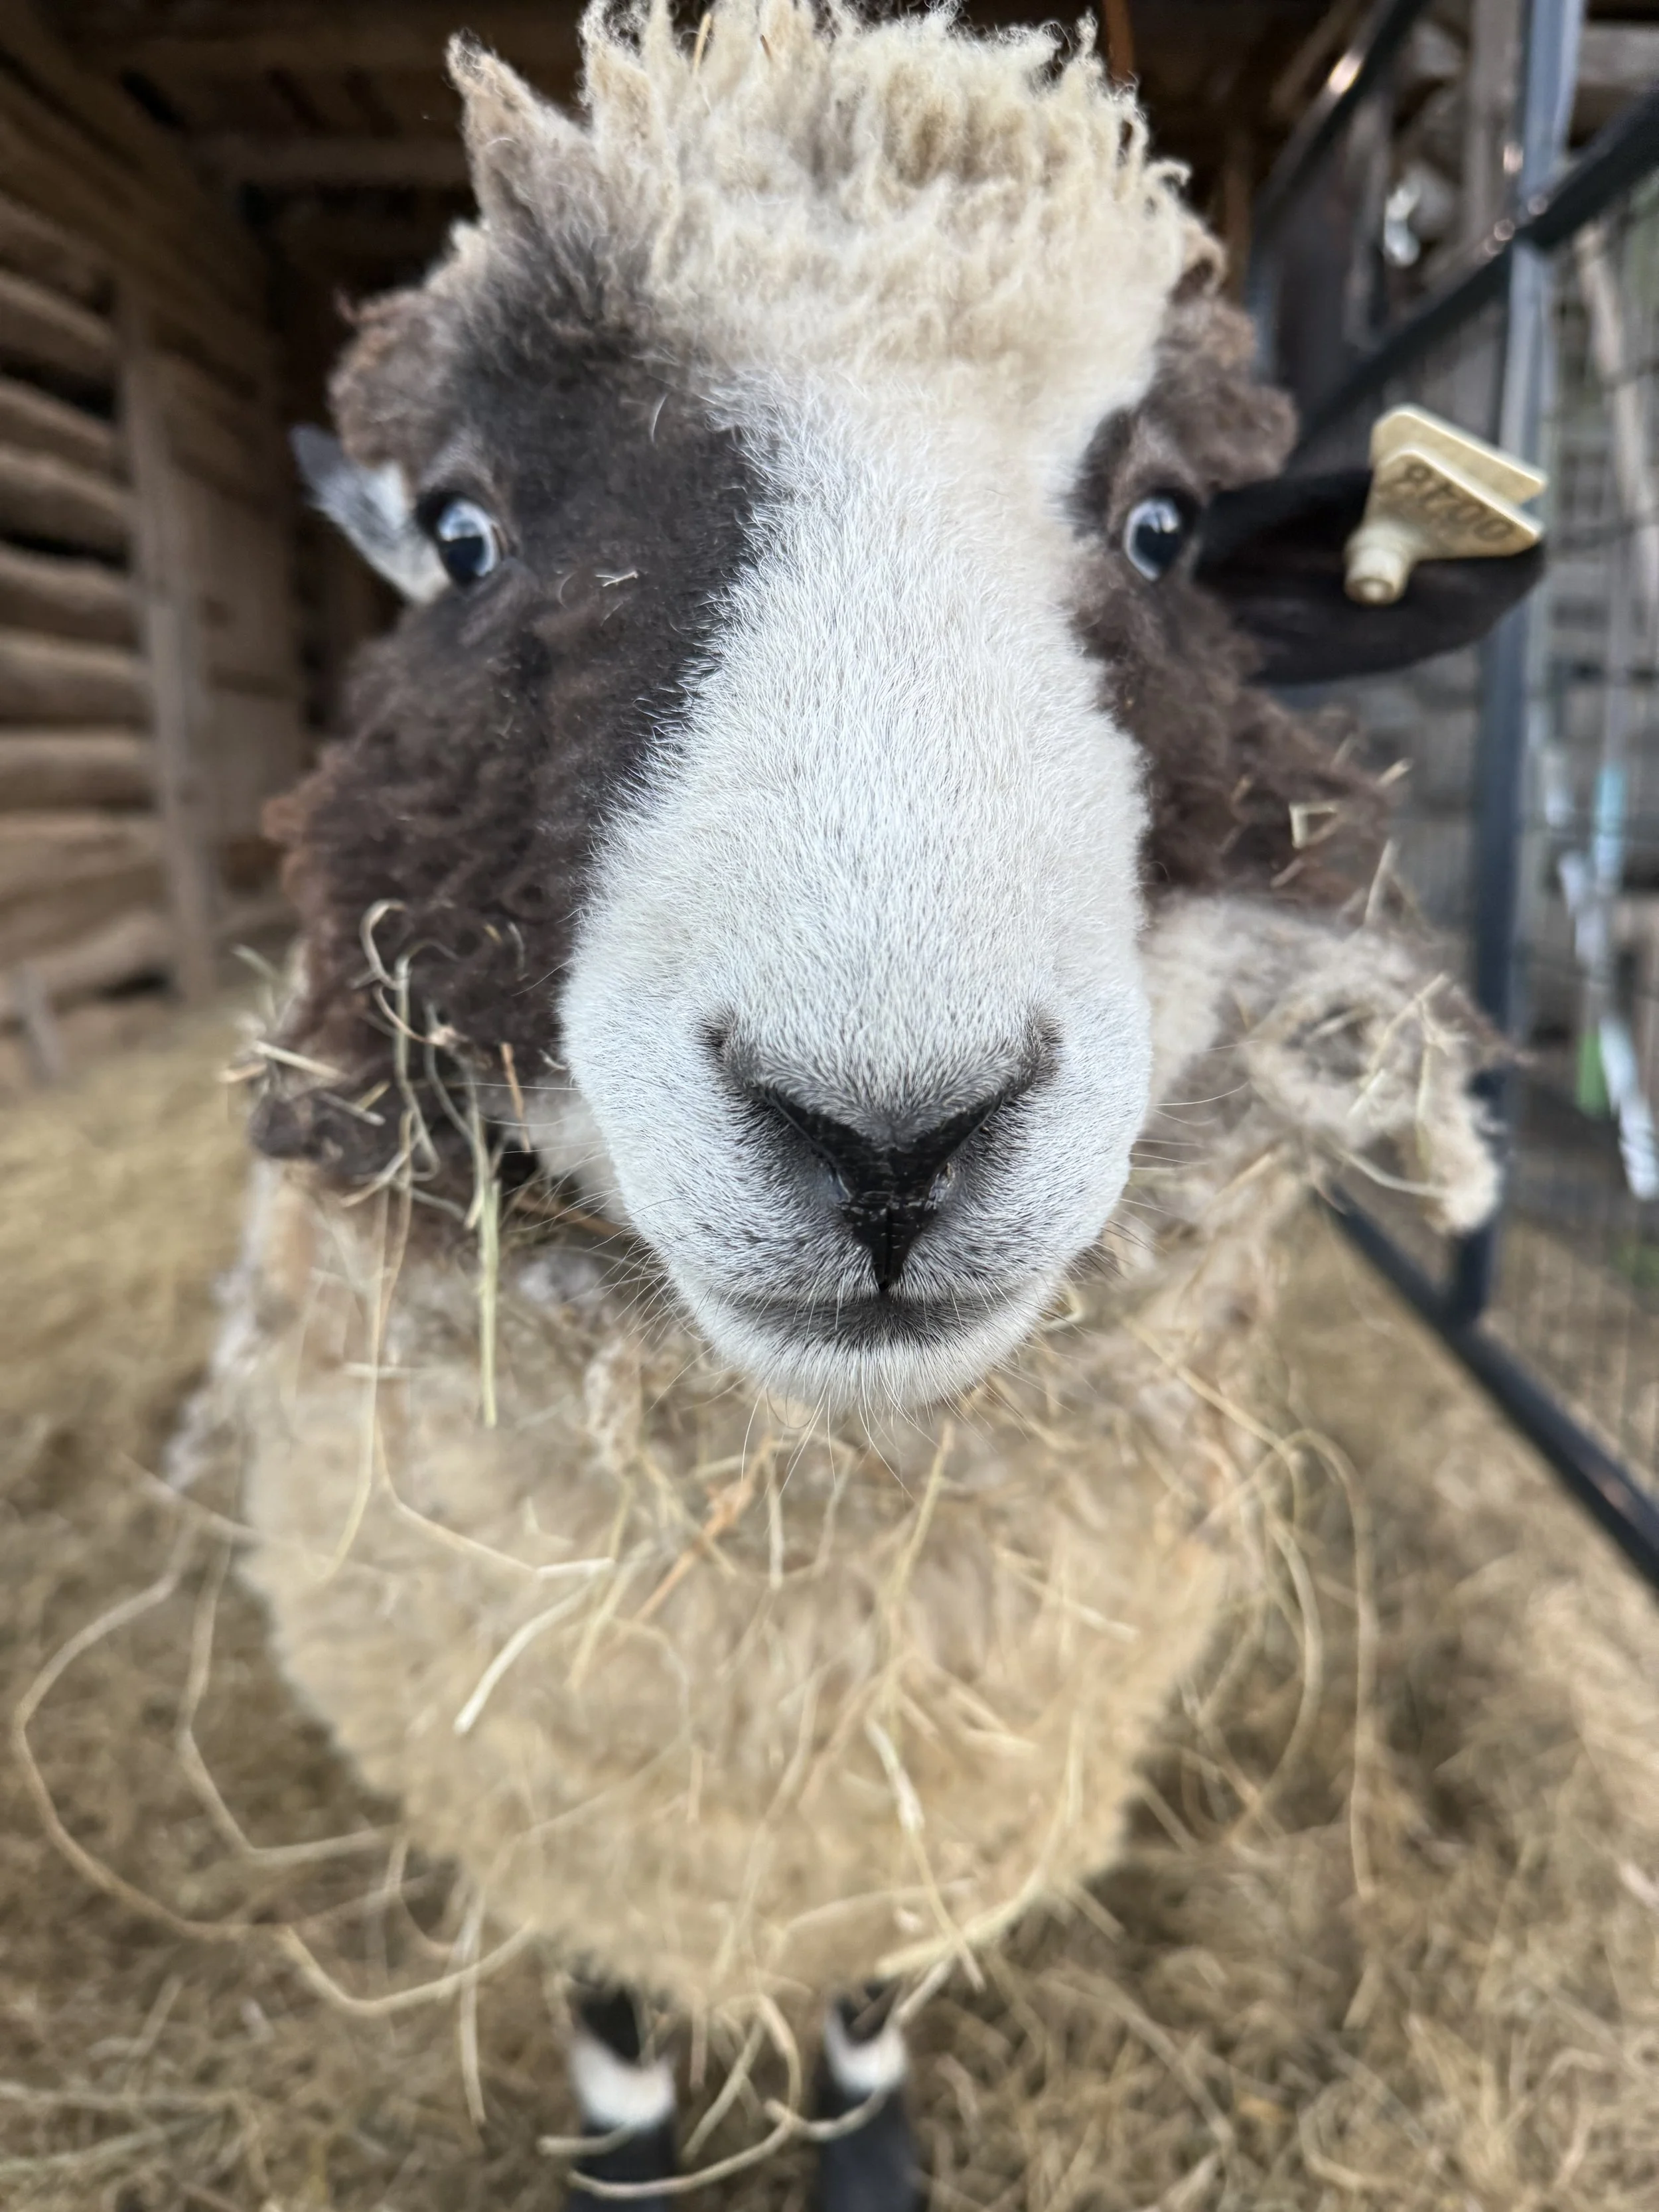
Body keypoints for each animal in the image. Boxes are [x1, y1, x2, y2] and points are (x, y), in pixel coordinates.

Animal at [211, 5, 1537, 2205]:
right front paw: (630, 2153)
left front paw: (864, 2137)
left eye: (1163, 529)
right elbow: (613, 2010)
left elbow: (866, 1974)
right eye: (467, 536)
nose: (890, 1137)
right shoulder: (545, 1747)